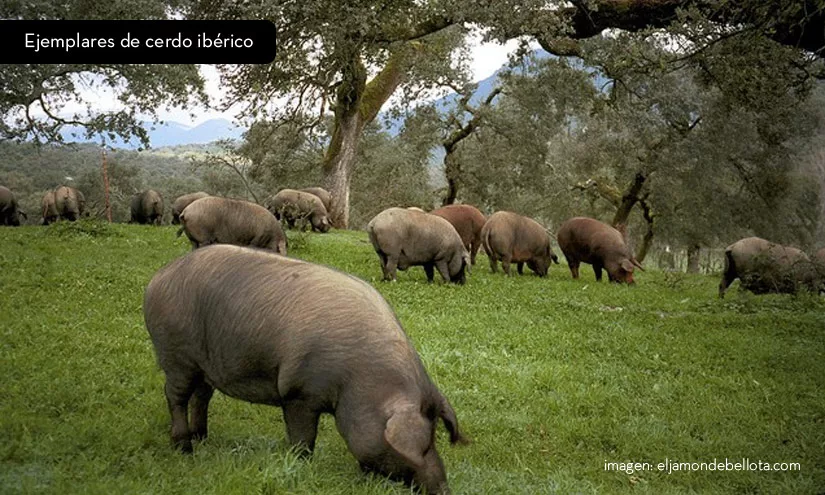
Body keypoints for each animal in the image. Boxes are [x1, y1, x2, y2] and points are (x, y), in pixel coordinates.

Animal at [142, 246, 464, 494]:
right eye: (423, 445)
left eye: (434, 437)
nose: (443, 489)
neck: (357, 381)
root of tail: (158, 278)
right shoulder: (298, 393)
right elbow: (303, 439)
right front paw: (300, 465)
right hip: (176, 355)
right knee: (175, 396)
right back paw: (185, 447)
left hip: (203, 365)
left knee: (202, 396)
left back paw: (202, 437)